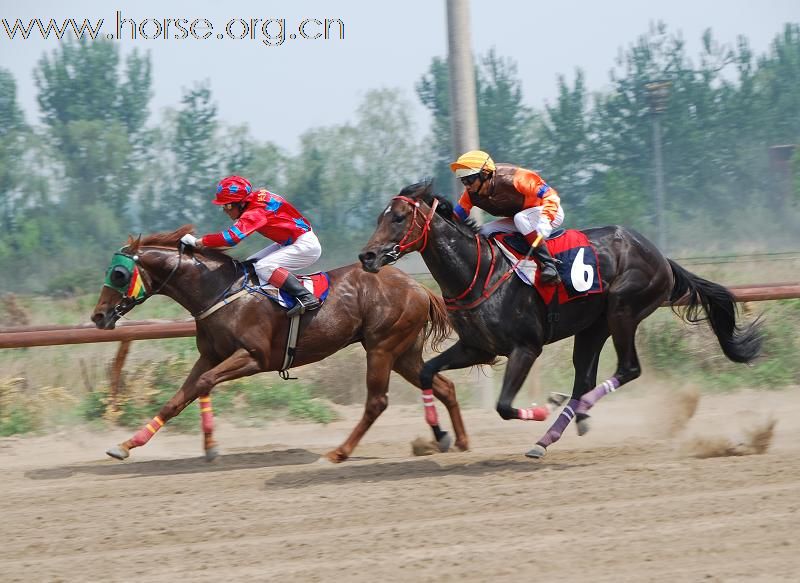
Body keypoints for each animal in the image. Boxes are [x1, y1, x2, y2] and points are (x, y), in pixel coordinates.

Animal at [92, 226, 468, 464]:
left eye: (119, 275)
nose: (98, 316)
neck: (221, 291)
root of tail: (419, 288)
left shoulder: (253, 357)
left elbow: (203, 384)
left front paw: (211, 446)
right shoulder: (210, 355)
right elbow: (177, 399)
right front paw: (126, 445)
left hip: (382, 347)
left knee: (377, 402)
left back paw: (338, 453)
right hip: (402, 351)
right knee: (442, 385)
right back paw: (453, 439)